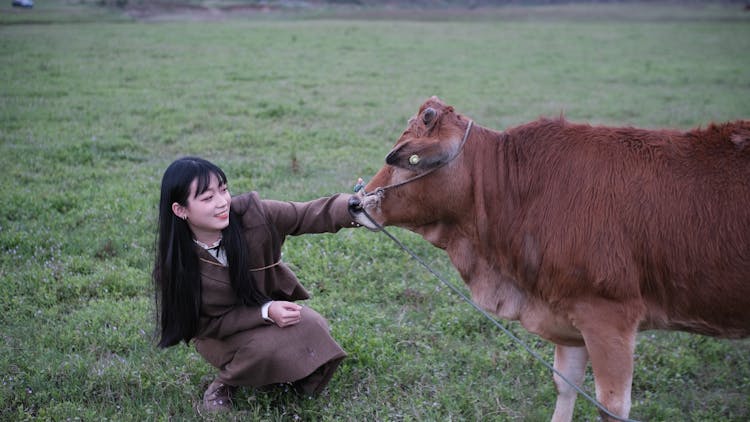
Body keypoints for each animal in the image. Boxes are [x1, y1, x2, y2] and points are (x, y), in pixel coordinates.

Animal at [352, 96, 750, 422]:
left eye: (407, 158)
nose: (356, 202)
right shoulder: (570, 310)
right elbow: (566, 384)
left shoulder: (609, 316)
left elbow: (611, 405)